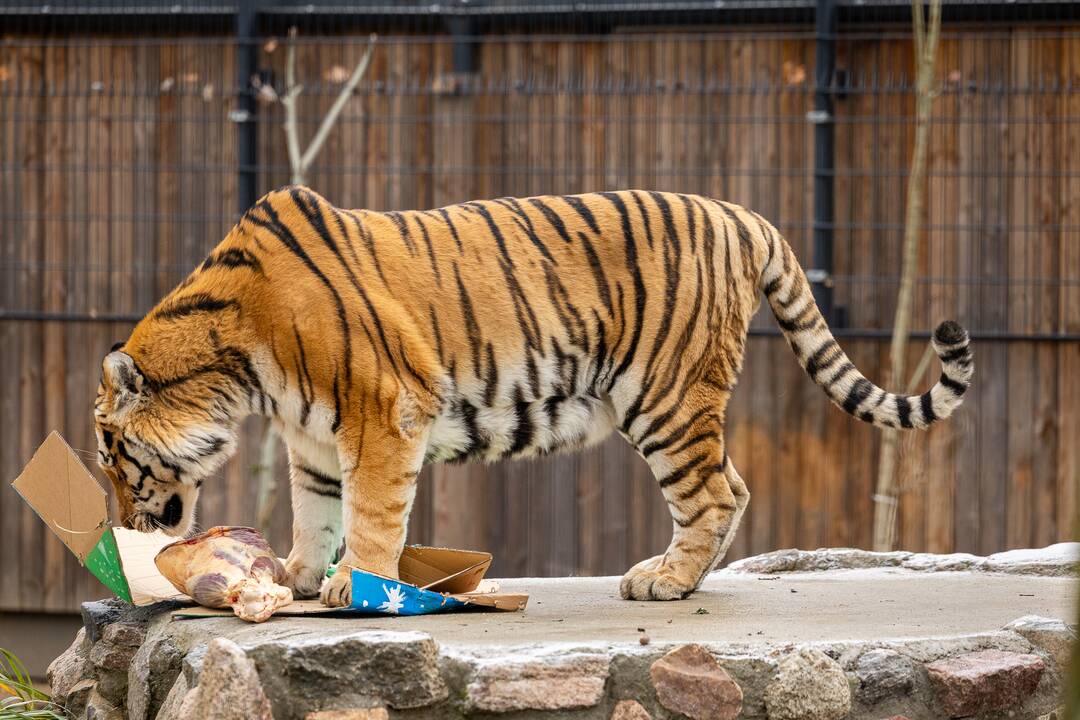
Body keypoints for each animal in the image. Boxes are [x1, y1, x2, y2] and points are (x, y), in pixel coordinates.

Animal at [90, 185, 972, 604]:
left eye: (112, 455)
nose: (125, 524)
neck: (241, 370)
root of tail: (744, 215)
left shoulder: (383, 414)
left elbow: (371, 512)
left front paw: (351, 585)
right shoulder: (313, 437)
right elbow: (317, 508)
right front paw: (299, 575)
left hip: (665, 398)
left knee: (716, 493)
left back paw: (666, 582)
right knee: (736, 485)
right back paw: (682, 575)